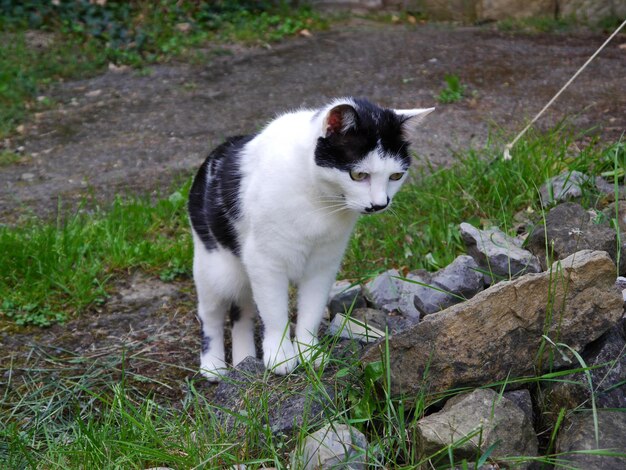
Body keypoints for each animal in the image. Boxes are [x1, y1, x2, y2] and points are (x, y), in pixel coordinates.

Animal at [189, 97, 434, 380]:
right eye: (358, 175)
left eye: (396, 176)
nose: (379, 204)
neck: (319, 200)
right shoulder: (265, 262)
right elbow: (274, 312)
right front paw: (280, 355)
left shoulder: (324, 263)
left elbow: (312, 310)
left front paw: (309, 353)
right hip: (215, 268)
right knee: (211, 315)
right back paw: (214, 366)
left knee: (243, 312)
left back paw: (244, 359)